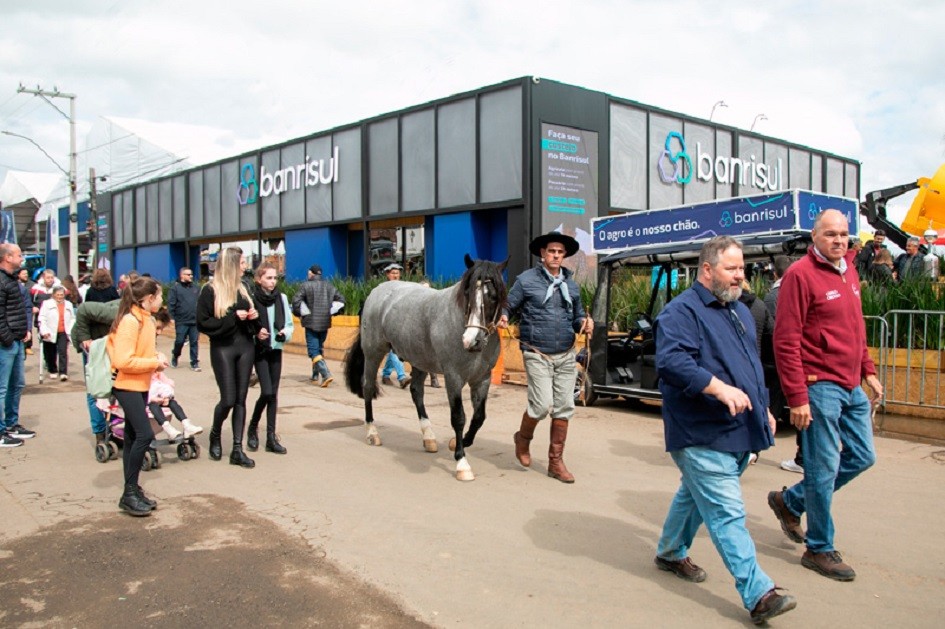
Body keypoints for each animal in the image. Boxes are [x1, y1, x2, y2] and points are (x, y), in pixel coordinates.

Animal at [346, 253, 508, 478]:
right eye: (467, 293)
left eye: (493, 296)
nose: (471, 340)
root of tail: (376, 292)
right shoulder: (453, 377)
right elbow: (458, 417)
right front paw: (462, 462)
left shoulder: (482, 378)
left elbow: (479, 417)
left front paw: (460, 442)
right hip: (373, 353)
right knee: (368, 387)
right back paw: (372, 433)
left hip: (419, 360)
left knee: (416, 392)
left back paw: (428, 437)